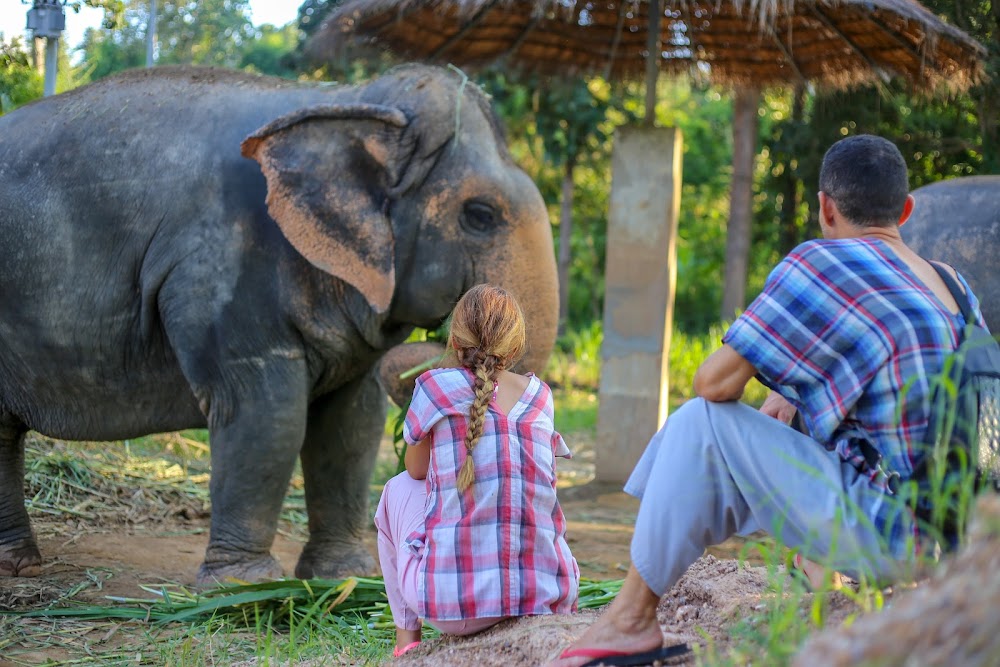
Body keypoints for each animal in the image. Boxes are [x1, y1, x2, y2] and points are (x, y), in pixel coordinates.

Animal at [0, 64, 564, 584]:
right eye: (480, 214)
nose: (451, 340)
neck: (348, 101)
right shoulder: (222, 267)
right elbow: (267, 413)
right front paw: (248, 589)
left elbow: (351, 425)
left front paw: (343, 578)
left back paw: (19, 565)